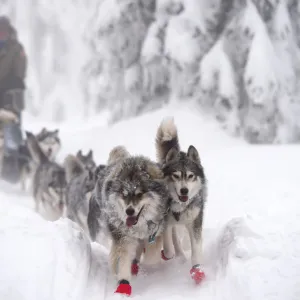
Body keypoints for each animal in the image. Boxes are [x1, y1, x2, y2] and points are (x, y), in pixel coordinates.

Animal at [88, 145, 170, 296]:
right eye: (124, 194)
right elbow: (123, 259)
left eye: (139, 194)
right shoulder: (123, 238)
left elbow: (152, 256)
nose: (129, 211)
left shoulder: (155, 234)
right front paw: (123, 283)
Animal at [155, 117, 206, 284]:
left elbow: (196, 250)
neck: (179, 205)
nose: (184, 191)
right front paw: (169, 254)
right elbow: (169, 247)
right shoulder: (165, 222)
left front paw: (197, 269)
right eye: (176, 176)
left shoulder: (195, 222)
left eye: (190, 176)